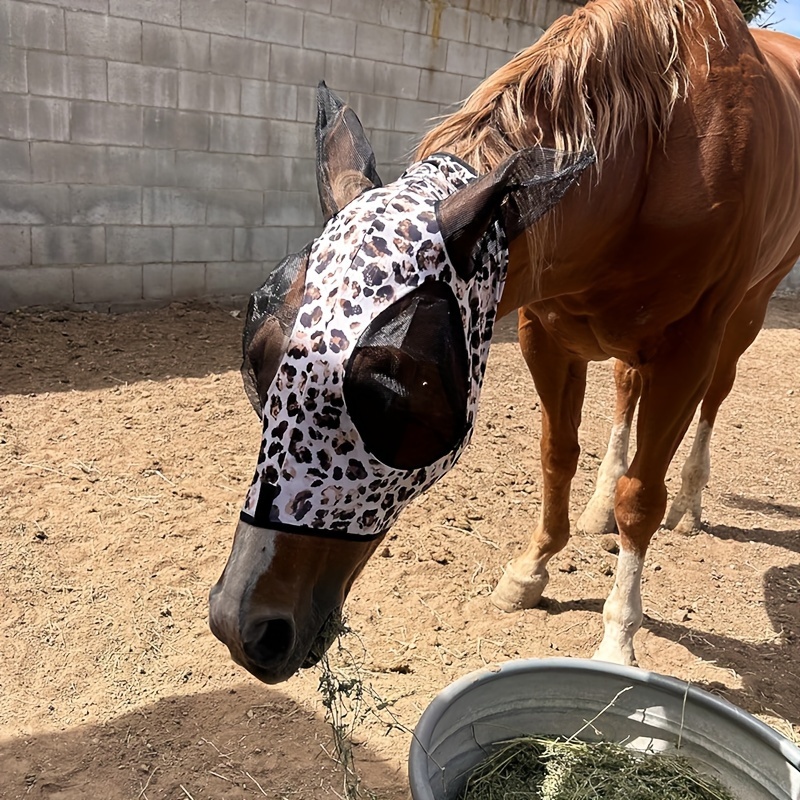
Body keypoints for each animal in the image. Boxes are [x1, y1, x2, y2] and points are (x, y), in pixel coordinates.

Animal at [209, 0, 800, 684]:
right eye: (257, 364)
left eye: (395, 395)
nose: (241, 626)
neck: (653, 155)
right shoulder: (544, 334)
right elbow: (556, 457)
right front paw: (531, 570)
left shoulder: (686, 350)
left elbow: (641, 498)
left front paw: (618, 637)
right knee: (626, 392)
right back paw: (599, 506)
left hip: (744, 318)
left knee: (714, 399)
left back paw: (689, 503)